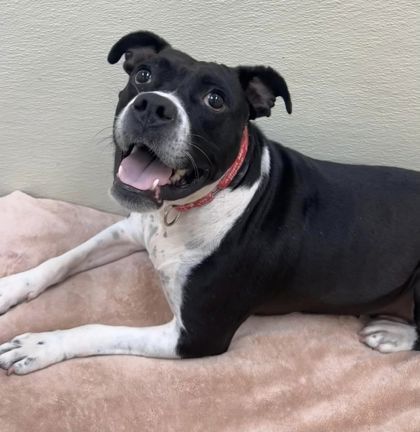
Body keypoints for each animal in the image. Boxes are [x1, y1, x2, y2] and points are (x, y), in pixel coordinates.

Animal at [0, 31, 420, 374]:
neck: (183, 210)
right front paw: (9, 288)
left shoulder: (195, 335)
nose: (153, 106)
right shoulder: (134, 227)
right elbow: (63, 259)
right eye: (143, 75)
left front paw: (42, 343)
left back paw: (391, 334)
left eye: (215, 99)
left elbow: (99, 329)